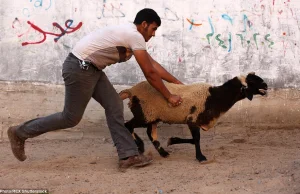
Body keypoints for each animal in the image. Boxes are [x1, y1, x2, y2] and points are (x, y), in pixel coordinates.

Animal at [119, 73, 268, 162]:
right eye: (252, 81)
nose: (266, 85)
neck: (215, 97)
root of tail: (131, 91)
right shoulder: (192, 118)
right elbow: (196, 139)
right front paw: (200, 157)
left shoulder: (194, 121)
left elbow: (193, 139)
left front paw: (172, 140)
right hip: (144, 114)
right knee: (128, 125)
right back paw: (140, 146)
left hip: (152, 116)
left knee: (150, 133)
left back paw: (163, 153)